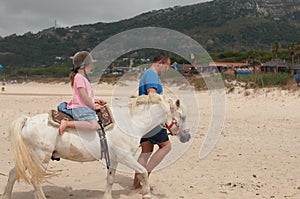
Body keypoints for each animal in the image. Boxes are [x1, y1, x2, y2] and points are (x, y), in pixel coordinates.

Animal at [0, 93, 190, 199]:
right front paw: (147, 194)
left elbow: (110, 179)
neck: (130, 123)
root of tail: (27, 120)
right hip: (41, 158)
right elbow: (143, 171)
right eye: (182, 116)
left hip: (29, 158)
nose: (187, 136)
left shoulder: (114, 159)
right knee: (36, 181)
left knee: (13, 174)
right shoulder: (126, 157)